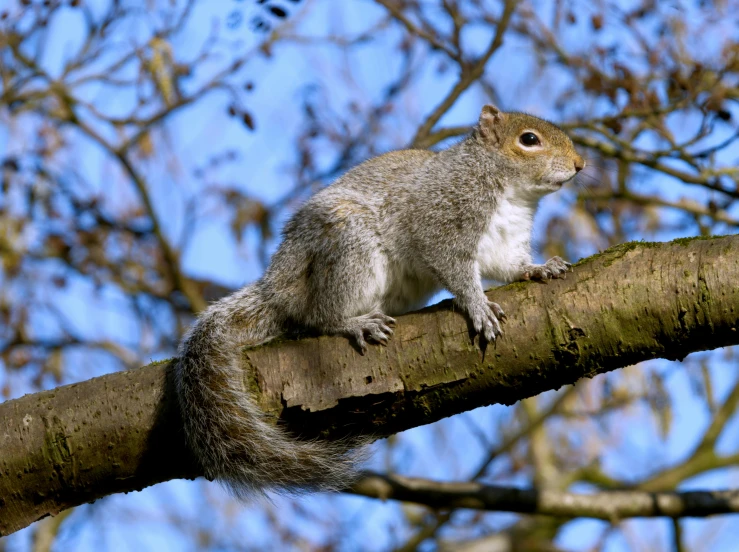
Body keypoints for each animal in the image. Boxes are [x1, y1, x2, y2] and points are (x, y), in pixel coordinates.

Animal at [173, 103, 584, 496]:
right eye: (529, 139)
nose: (580, 164)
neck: (511, 193)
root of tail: (278, 287)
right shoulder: (442, 218)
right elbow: (452, 265)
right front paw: (478, 305)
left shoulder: (506, 240)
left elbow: (510, 265)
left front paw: (539, 269)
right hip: (349, 248)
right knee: (319, 316)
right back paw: (354, 322)